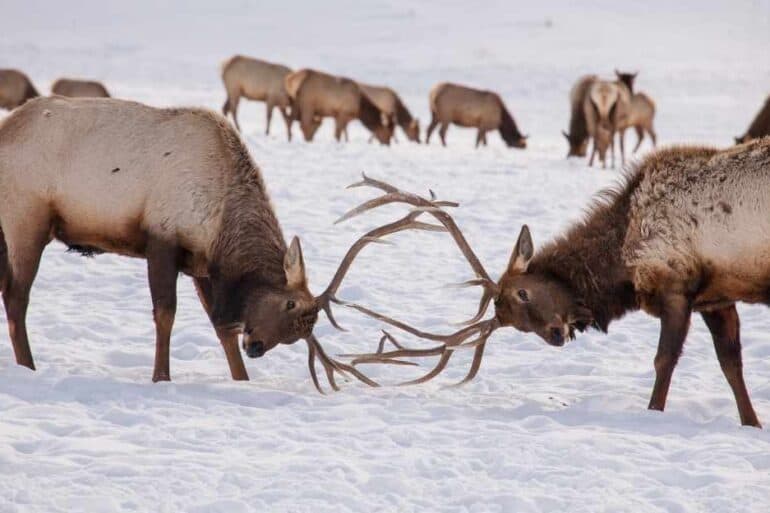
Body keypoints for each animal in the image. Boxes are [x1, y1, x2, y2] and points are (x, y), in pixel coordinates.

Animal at [0, 97, 432, 392]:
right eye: (290, 305)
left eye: (298, 333)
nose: (257, 346)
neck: (221, 221)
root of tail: (7, 129)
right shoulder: (162, 238)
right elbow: (166, 314)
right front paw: (161, 377)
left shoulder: (203, 265)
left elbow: (222, 327)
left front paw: (241, 379)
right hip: (26, 218)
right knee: (16, 296)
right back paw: (28, 367)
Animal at [342, 141, 770, 428]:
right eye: (515, 322)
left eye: (523, 292)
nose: (556, 334)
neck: (621, 259)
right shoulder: (716, 297)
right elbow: (732, 364)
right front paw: (752, 423)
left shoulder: (676, 285)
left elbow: (664, 361)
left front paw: (653, 414)